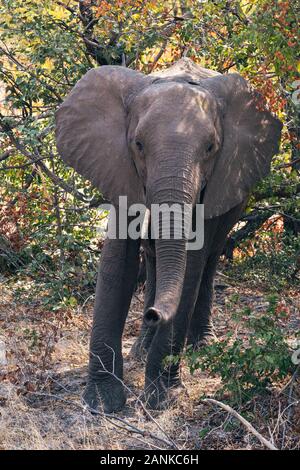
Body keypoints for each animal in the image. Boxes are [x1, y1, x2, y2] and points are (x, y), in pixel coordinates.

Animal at [55, 57, 282, 412]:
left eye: (210, 148)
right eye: (138, 145)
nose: (152, 315)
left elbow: (189, 265)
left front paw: (161, 400)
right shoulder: (119, 167)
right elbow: (118, 263)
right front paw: (103, 405)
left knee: (208, 262)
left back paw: (200, 345)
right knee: (152, 260)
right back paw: (142, 349)